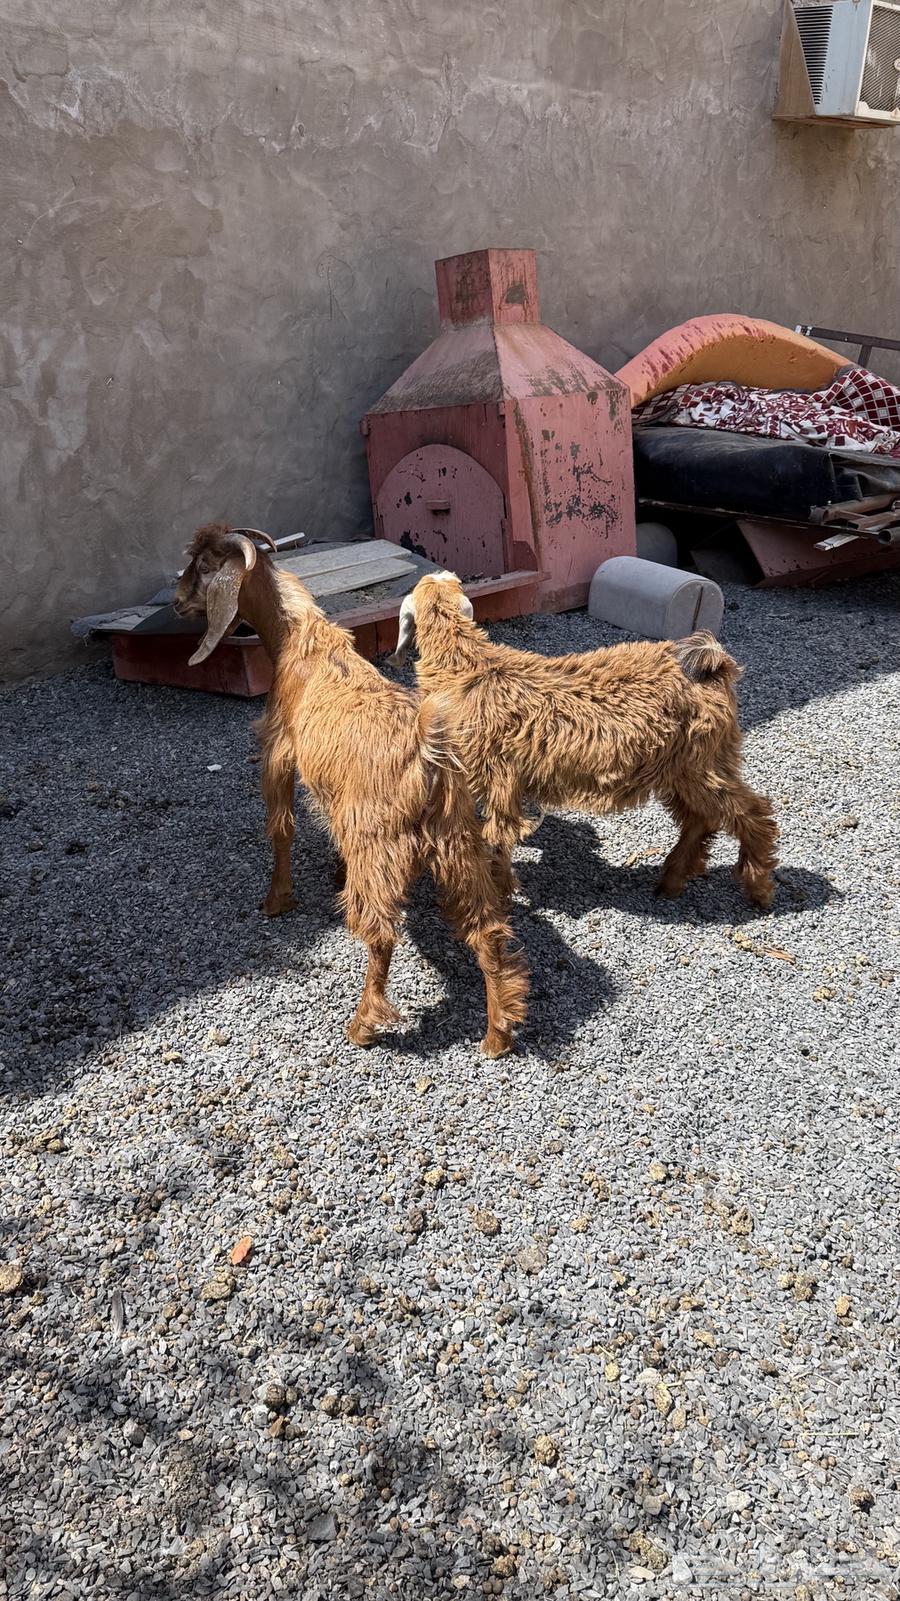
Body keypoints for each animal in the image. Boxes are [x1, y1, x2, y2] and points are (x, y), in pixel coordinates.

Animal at [173, 527, 528, 1055]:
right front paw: (331, 874)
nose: (176, 601)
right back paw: (498, 1031)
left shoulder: (279, 751)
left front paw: (277, 899)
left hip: (377, 843)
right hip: (457, 839)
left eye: (201, 566)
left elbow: (281, 827)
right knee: (485, 926)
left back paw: (363, 1025)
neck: (299, 641)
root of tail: (427, 755)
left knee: (380, 934)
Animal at [390, 572, 778, 908]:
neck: (469, 668)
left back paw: (758, 888)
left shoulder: (498, 779)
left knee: (751, 812)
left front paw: (501, 893)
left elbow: (499, 837)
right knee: (701, 819)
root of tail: (715, 665)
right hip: (685, 767)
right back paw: (673, 879)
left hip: (702, 765)